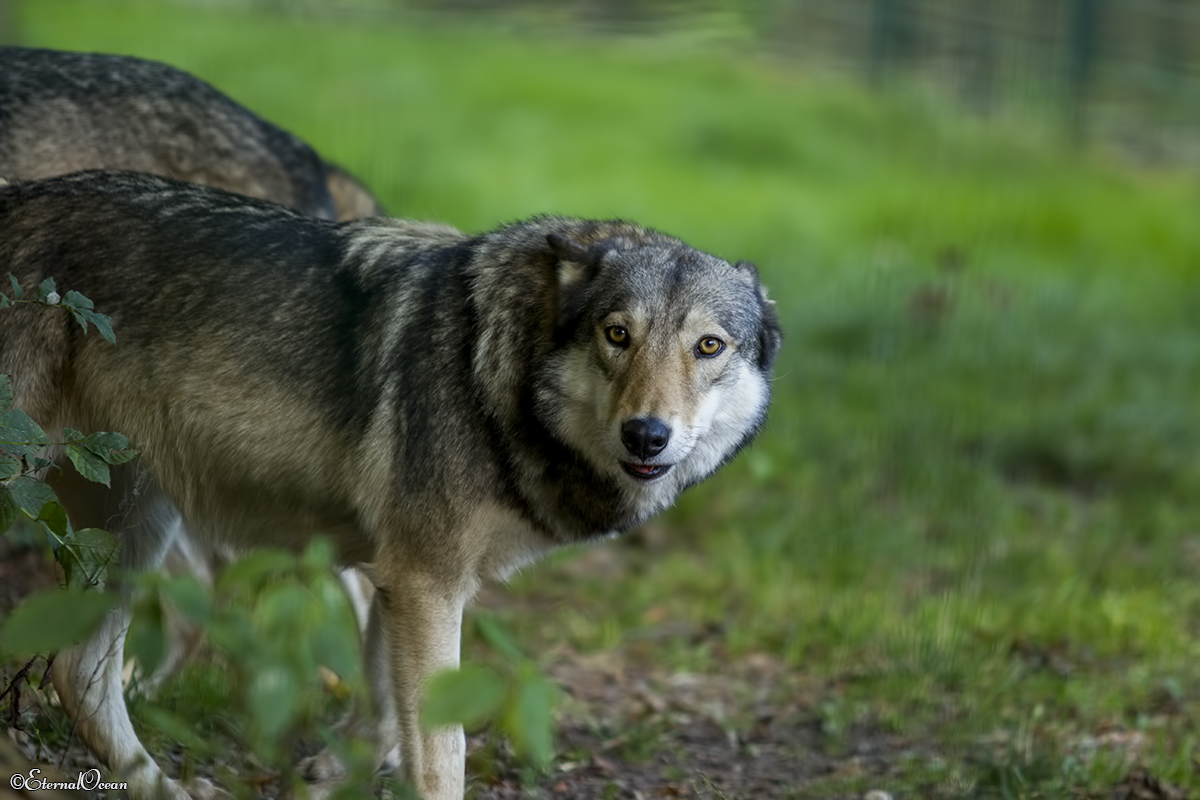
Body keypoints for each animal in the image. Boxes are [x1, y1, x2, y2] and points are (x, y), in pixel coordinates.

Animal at [0, 170, 781, 799]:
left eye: (708, 346)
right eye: (617, 335)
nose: (646, 435)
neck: (491, 370)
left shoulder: (395, 576)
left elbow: (381, 714)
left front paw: (332, 771)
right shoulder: (426, 582)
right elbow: (442, 749)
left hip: (135, 524)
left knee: (78, 671)